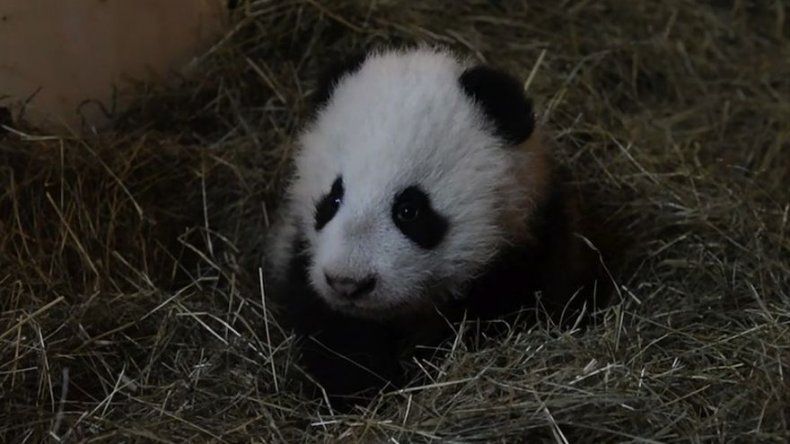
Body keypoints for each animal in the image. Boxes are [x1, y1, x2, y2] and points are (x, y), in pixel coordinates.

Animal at [265, 47, 607, 407]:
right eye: (332, 200)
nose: (348, 283)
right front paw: (358, 387)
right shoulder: (301, 259)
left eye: (409, 210)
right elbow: (333, 330)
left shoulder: (531, 252)